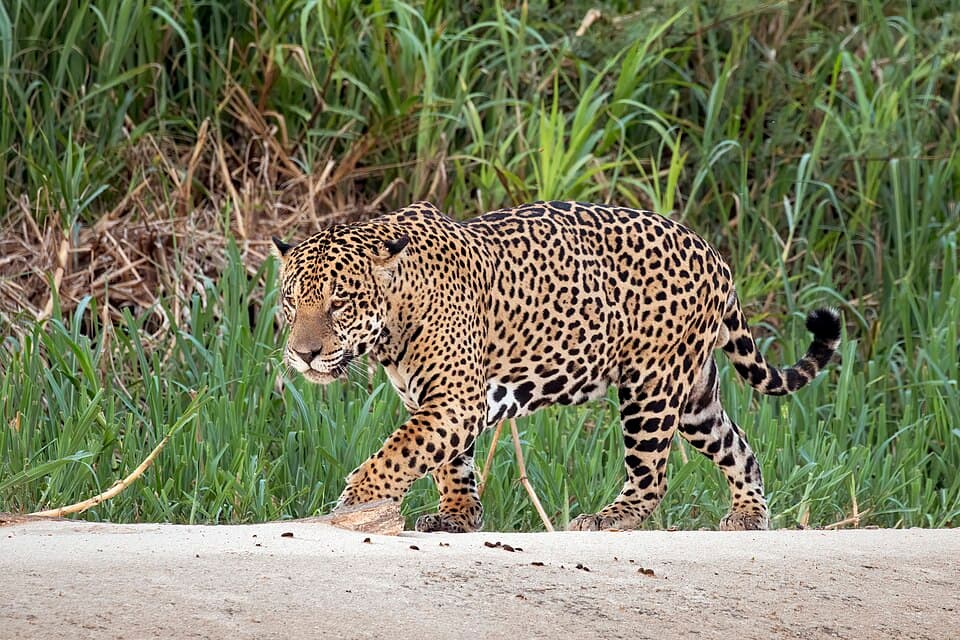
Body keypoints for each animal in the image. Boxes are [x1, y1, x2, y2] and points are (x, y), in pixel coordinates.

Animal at [272, 200, 841, 533]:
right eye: (292, 301)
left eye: (339, 304)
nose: (303, 354)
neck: (393, 322)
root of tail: (714, 254)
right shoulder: (436, 402)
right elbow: (446, 461)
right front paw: (459, 516)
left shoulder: (455, 401)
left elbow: (398, 453)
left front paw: (355, 500)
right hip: (695, 394)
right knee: (739, 448)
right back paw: (748, 515)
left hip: (651, 387)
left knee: (651, 476)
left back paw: (609, 519)